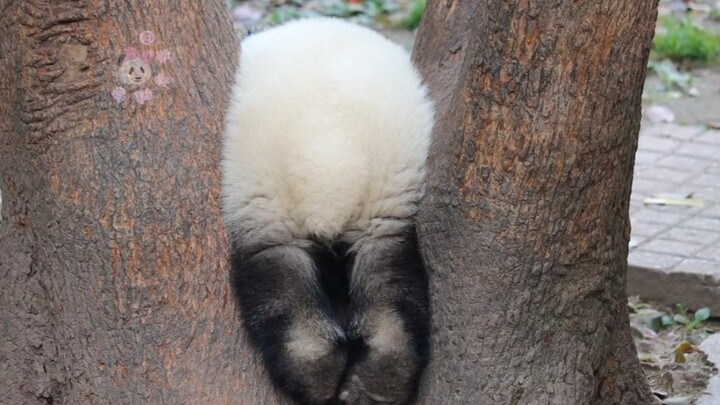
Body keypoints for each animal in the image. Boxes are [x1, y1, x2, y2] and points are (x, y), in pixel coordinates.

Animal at [222, 18, 434, 405]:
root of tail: (331, 159)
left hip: (262, 195)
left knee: (277, 279)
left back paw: (316, 380)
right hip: (389, 197)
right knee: (391, 282)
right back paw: (376, 384)